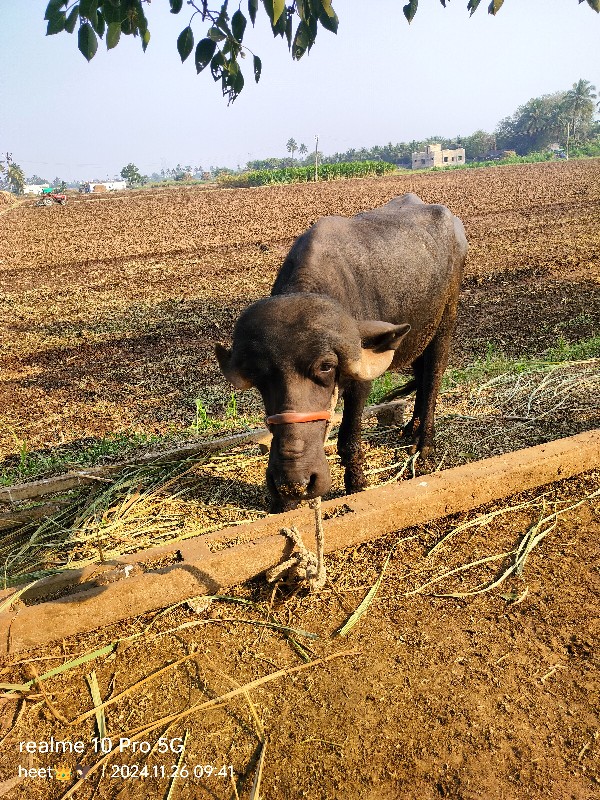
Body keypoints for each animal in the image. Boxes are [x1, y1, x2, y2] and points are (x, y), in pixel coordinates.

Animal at [216, 197, 468, 516]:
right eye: (260, 375)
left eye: (326, 366)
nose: (295, 483)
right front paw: (284, 502)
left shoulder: (360, 381)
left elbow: (349, 438)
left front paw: (356, 485)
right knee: (422, 377)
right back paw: (411, 427)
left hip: (445, 321)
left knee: (433, 377)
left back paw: (424, 448)